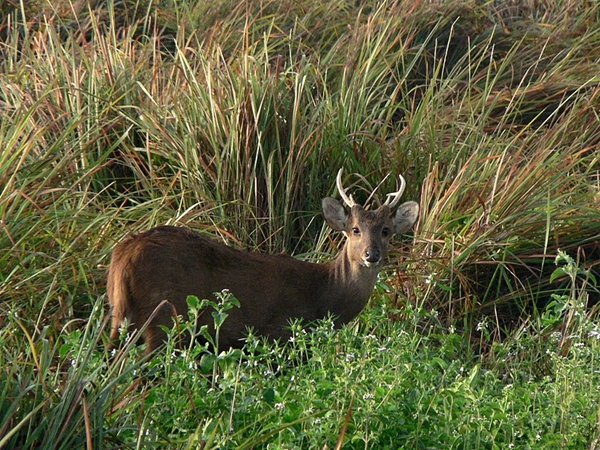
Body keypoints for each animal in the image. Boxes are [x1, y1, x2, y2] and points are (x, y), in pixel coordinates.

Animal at [106, 169, 418, 352]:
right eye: (355, 229)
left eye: (386, 230)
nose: (371, 254)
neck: (322, 296)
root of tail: (124, 255)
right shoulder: (282, 332)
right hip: (164, 318)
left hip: (122, 316)